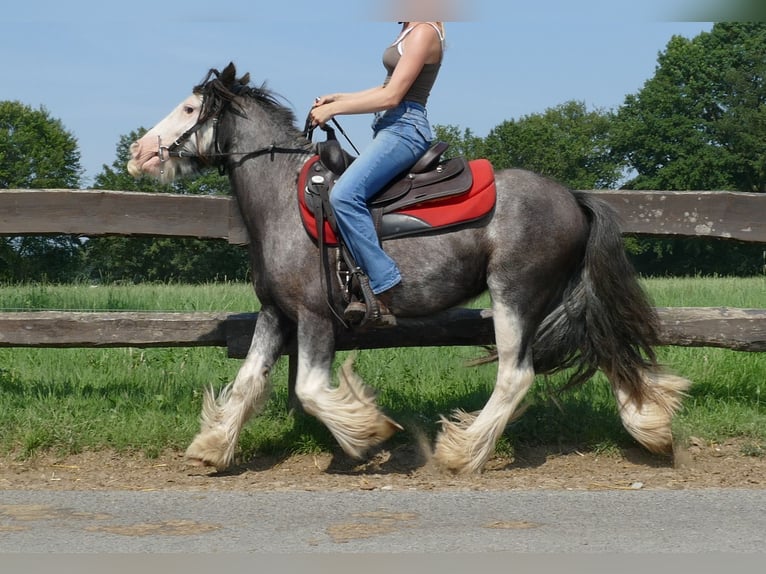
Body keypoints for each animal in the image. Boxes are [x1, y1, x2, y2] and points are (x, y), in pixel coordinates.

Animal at [129, 63, 692, 476]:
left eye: (189, 107)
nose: (137, 152)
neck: (283, 200)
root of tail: (572, 198)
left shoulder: (315, 316)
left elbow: (310, 390)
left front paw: (368, 431)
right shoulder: (275, 313)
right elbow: (249, 382)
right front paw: (211, 446)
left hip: (514, 295)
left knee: (516, 375)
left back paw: (461, 453)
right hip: (566, 298)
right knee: (604, 345)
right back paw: (651, 428)